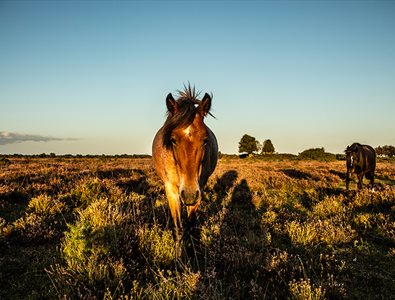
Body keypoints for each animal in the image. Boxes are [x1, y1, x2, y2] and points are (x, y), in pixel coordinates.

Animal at [152, 84, 220, 246]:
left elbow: (190, 227)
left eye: (205, 140)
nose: (189, 194)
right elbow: (178, 229)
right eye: (172, 139)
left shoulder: (199, 190)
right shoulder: (171, 190)